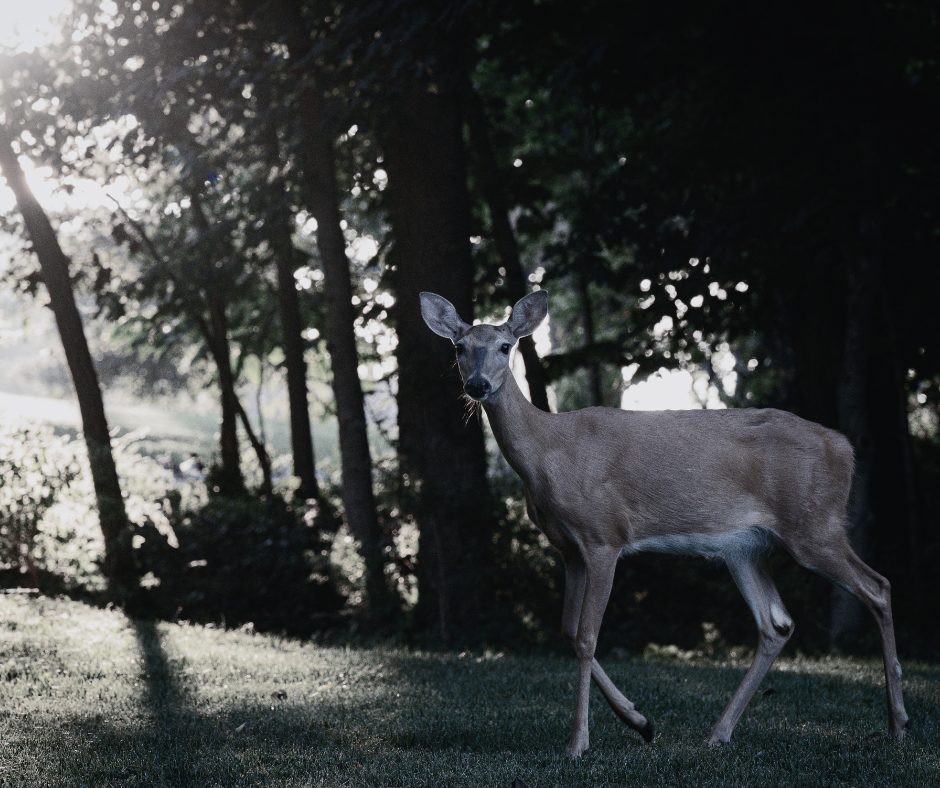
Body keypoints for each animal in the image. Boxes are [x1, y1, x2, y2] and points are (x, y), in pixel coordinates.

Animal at [420, 289, 909, 758]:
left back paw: (898, 723)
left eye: (505, 346)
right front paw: (640, 721)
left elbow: (587, 637)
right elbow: (568, 632)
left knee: (878, 586)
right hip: (747, 548)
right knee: (777, 624)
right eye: (459, 347)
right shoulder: (569, 550)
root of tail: (845, 447)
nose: (477, 385)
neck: (548, 455)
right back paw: (718, 734)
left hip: (814, 524)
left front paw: (578, 743)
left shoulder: (604, 536)